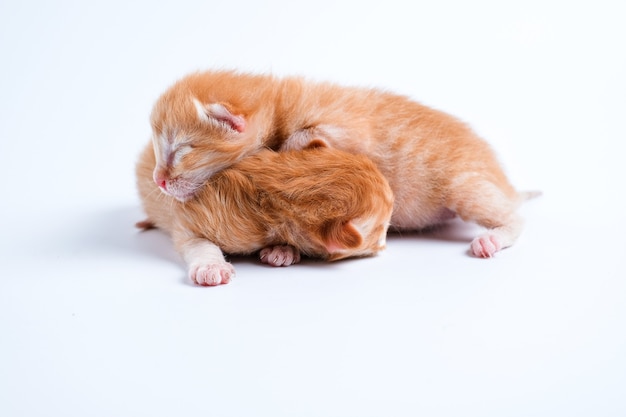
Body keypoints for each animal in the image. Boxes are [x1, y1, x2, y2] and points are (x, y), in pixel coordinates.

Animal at [135, 141, 390, 286]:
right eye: (382, 228)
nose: (385, 245)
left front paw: (282, 250)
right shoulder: (188, 219)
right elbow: (198, 243)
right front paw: (211, 267)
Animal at [147, 70, 536, 266]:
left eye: (180, 150)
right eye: (158, 148)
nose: (159, 181)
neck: (279, 106)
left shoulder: (346, 129)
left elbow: (302, 140)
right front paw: (281, 249)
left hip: (464, 186)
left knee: (515, 217)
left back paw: (493, 237)